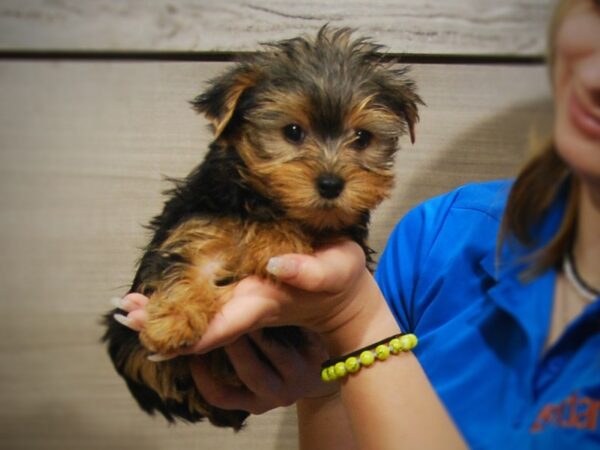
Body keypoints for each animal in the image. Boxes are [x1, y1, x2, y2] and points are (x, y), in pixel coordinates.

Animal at [102, 25, 422, 428]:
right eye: (293, 132)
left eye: (362, 138)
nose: (331, 184)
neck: (263, 203)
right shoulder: (197, 224)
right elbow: (185, 267)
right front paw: (172, 321)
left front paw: (276, 243)